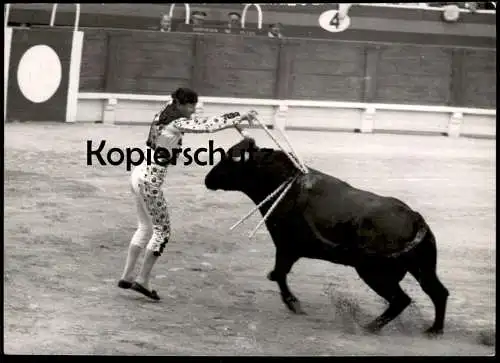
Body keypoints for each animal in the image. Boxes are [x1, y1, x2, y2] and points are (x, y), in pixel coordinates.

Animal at [203, 138, 450, 336]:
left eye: (229, 160)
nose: (208, 179)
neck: (284, 183)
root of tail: (415, 217)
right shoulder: (288, 250)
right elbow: (278, 274)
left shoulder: (286, 247)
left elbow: (279, 274)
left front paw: (294, 304)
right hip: (422, 268)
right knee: (438, 292)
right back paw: (434, 329)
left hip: (373, 272)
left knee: (401, 299)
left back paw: (370, 327)